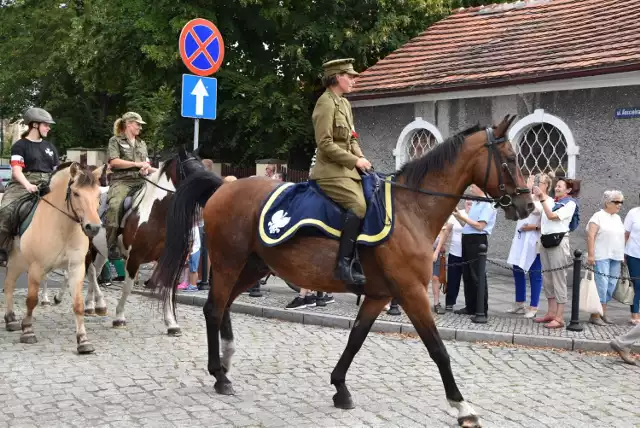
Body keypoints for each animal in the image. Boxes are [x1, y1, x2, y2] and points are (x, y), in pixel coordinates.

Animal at [3, 162, 104, 352]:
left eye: (98, 194)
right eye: (76, 193)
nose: (93, 227)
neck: (62, 225)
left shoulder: (76, 267)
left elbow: (78, 304)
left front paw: (83, 340)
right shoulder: (36, 267)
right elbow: (31, 300)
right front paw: (28, 331)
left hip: (17, 263)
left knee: (9, 285)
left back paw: (10, 319)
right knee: (9, 285)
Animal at [152, 115, 532, 426]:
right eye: (512, 159)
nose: (527, 204)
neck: (412, 209)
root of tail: (224, 186)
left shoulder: (380, 295)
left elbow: (356, 339)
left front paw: (340, 388)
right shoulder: (411, 293)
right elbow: (437, 348)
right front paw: (462, 407)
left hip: (251, 267)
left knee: (224, 306)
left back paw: (227, 360)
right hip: (230, 263)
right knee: (214, 309)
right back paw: (219, 375)